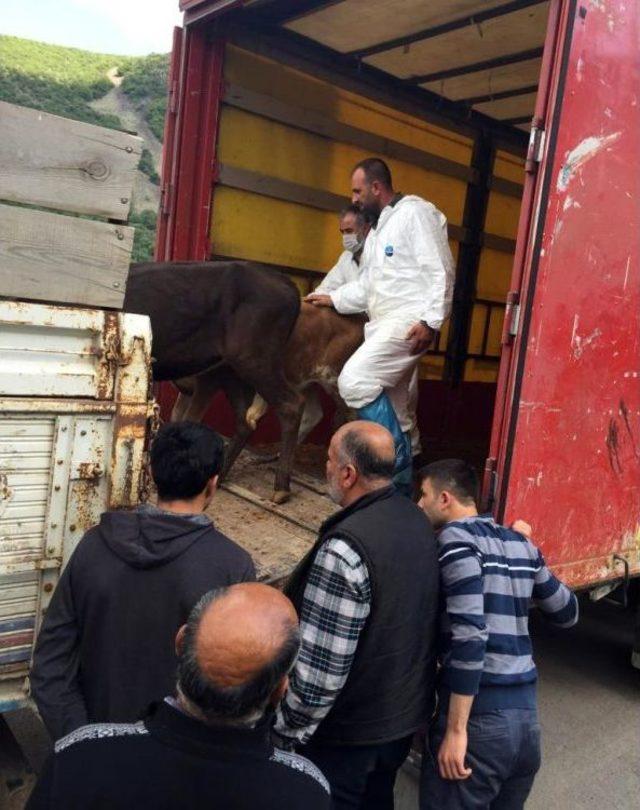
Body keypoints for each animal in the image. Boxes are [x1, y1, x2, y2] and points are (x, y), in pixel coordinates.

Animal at [172, 304, 364, 502]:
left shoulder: (209, 381)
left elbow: (191, 419)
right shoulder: (188, 389)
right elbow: (176, 417)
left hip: (335, 381)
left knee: (350, 414)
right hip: (303, 381)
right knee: (312, 413)